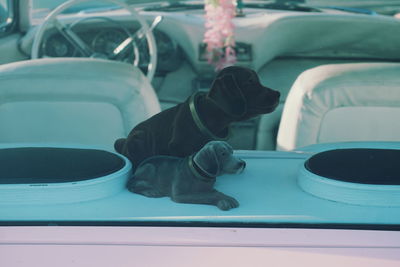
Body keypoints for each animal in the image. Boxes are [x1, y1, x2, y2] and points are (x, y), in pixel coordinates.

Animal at [114, 66, 280, 169]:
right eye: (250, 82)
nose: (278, 93)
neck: (210, 119)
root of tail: (124, 144)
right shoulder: (177, 148)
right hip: (138, 138)